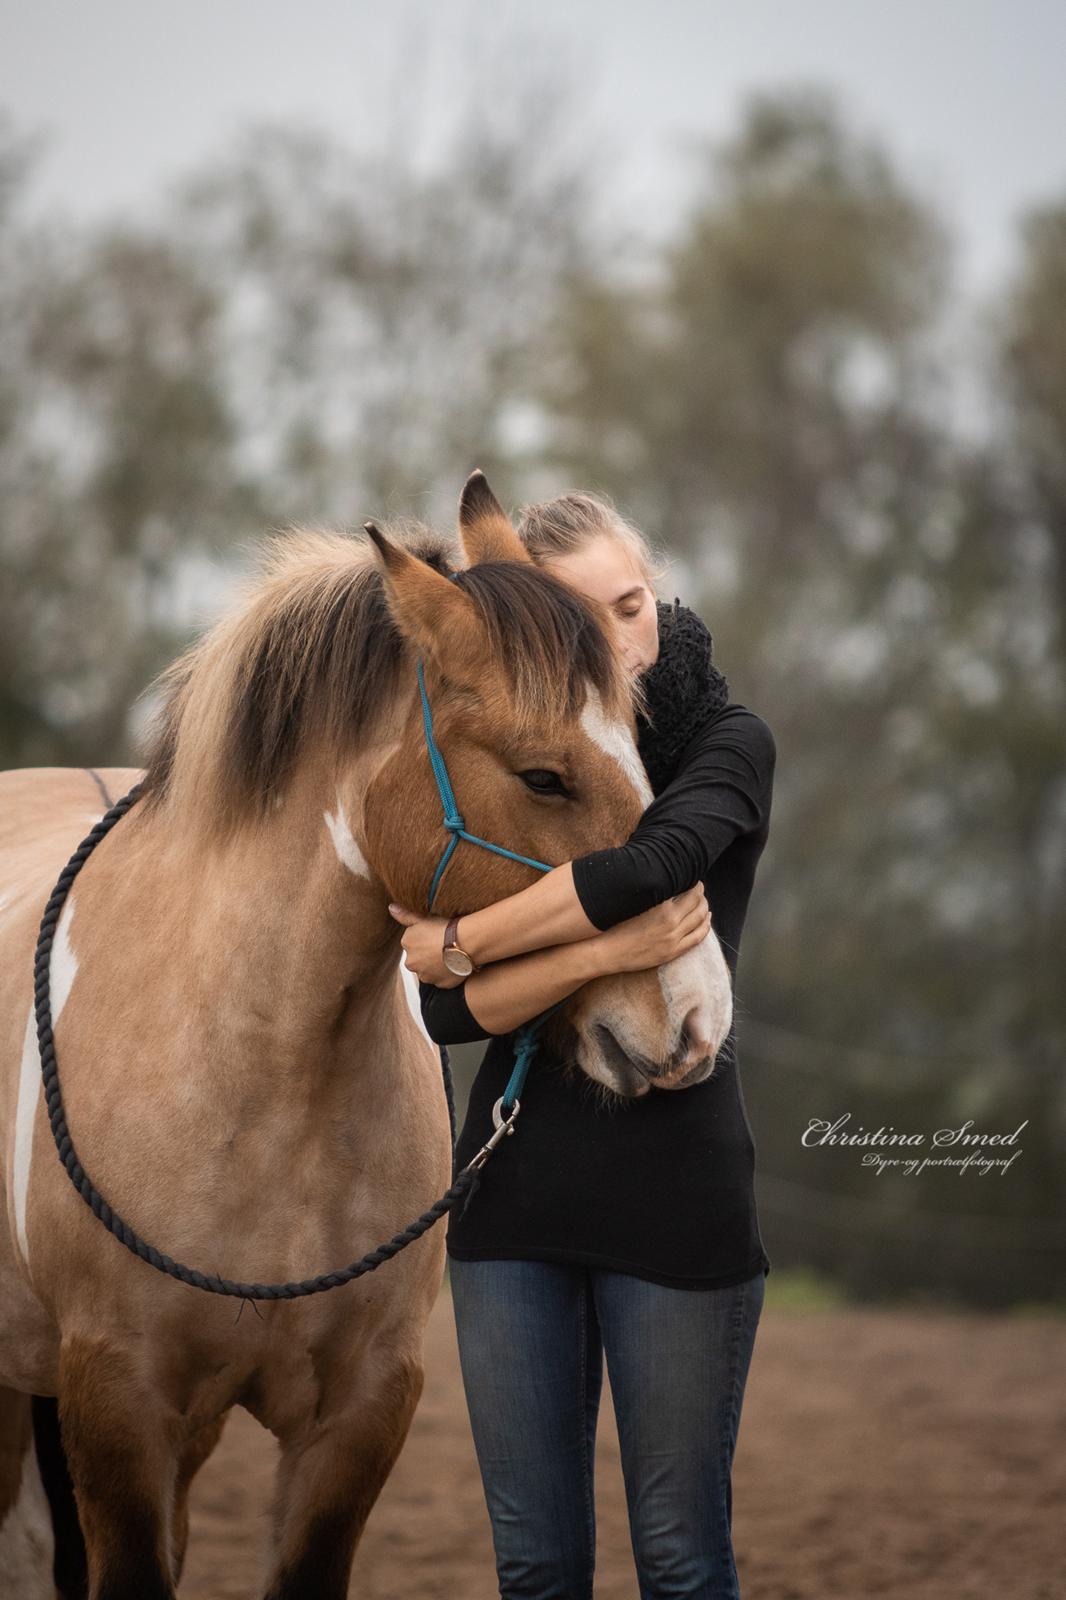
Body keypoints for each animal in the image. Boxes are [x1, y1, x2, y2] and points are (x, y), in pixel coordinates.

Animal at [0, 467, 729, 1593]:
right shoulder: (118, 1403)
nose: (695, 1014)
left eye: (645, 753)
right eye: (543, 775)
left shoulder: (359, 1416)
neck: (260, 1076)